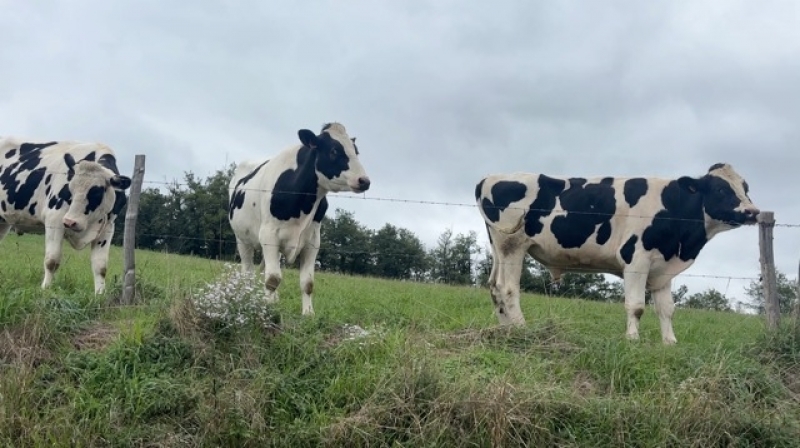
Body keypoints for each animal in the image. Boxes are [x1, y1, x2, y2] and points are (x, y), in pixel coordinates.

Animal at [0, 137, 132, 294]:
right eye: (71, 188)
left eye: (96, 192)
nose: (70, 222)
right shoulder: (55, 220)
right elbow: (52, 260)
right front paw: (45, 289)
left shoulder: (108, 228)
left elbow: (100, 266)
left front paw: (100, 295)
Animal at [228, 123, 370, 315]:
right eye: (334, 151)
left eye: (356, 151)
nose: (364, 181)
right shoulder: (269, 234)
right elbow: (272, 279)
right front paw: (267, 311)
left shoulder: (313, 241)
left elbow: (307, 283)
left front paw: (308, 314)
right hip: (242, 240)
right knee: (248, 273)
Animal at [475, 163, 759, 344]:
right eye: (721, 189)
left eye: (745, 188)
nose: (752, 212)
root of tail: (488, 178)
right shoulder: (636, 259)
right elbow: (636, 306)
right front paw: (632, 339)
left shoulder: (663, 268)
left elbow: (667, 309)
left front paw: (670, 342)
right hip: (513, 245)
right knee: (507, 288)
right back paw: (521, 328)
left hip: (498, 248)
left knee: (494, 286)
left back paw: (506, 329)